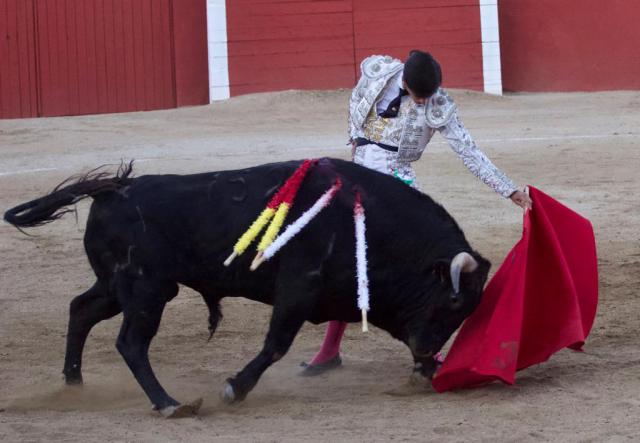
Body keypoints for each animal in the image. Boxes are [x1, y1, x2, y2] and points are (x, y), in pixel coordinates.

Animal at [3, 160, 490, 420]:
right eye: (453, 300)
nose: (427, 351)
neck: (368, 222)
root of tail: (114, 188)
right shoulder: (297, 289)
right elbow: (275, 344)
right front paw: (235, 388)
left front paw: (430, 371)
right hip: (147, 290)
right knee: (131, 343)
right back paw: (169, 404)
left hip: (116, 285)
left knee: (81, 310)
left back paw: (74, 384)